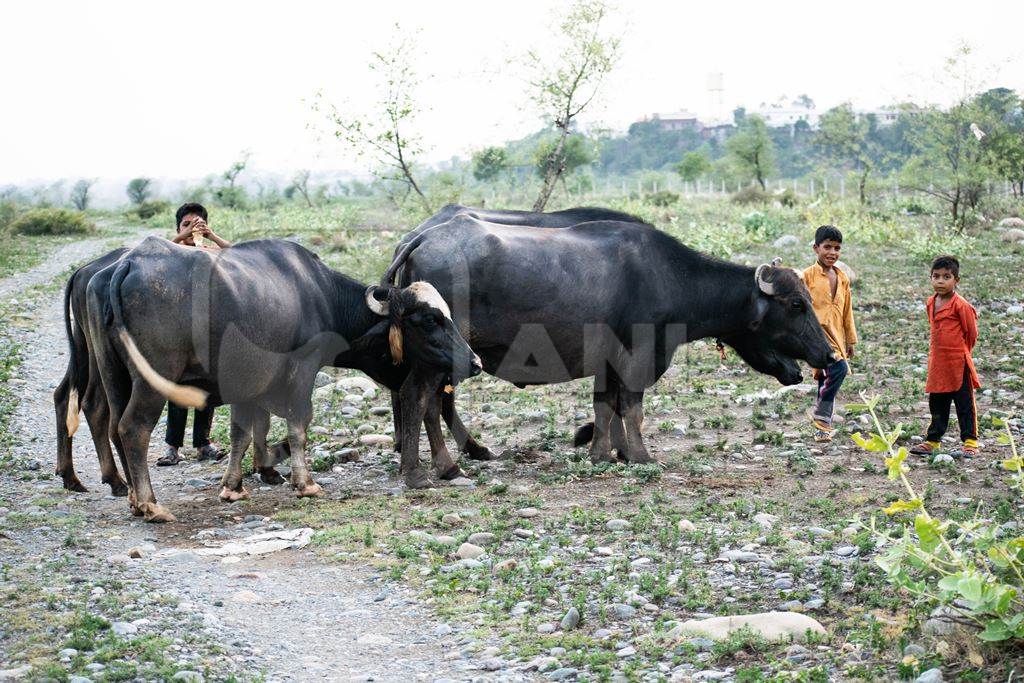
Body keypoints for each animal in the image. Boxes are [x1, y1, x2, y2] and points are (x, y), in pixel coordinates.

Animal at [82, 237, 479, 520]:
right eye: (429, 319)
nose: (473, 362)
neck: (319, 294)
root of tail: (128, 263)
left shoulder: (245, 386)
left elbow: (242, 433)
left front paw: (233, 487)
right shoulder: (302, 371)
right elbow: (298, 426)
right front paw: (305, 483)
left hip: (115, 376)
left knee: (115, 425)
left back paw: (134, 501)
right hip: (151, 382)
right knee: (133, 428)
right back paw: (151, 505)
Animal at [372, 214, 835, 471]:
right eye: (796, 304)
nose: (829, 353)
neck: (670, 279)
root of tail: (420, 239)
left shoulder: (608, 363)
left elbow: (605, 405)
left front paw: (606, 452)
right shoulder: (639, 355)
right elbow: (631, 406)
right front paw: (641, 455)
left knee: (430, 401)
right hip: (444, 354)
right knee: (424, 399)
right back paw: (446, 465)